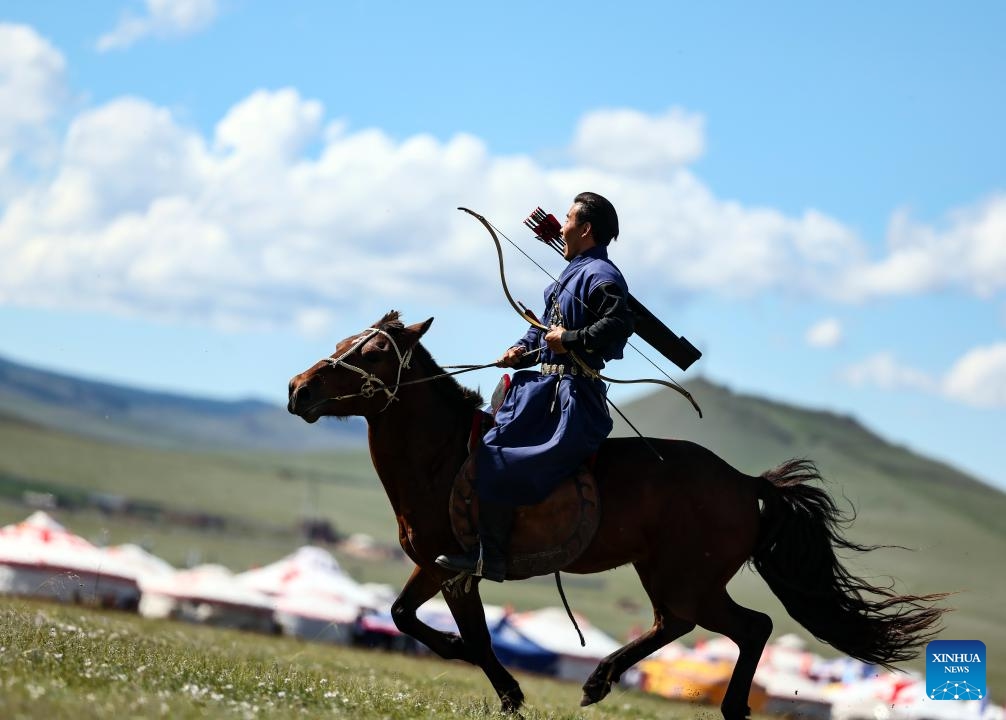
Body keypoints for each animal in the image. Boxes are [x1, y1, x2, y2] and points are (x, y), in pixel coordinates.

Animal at [287, 311, 945, 720]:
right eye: (346, 342)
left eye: (374, 352)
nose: (298, 389)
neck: (444, 457)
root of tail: (743, 483)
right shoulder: (438, 568)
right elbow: (407, 615)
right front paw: (491, 679)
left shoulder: (456, 569)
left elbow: (463, 631)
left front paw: (503, 686)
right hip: (670, 576)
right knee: (681, 624)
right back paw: (606, 680)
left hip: (690, 579)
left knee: (745, 626)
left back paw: (700, 700)